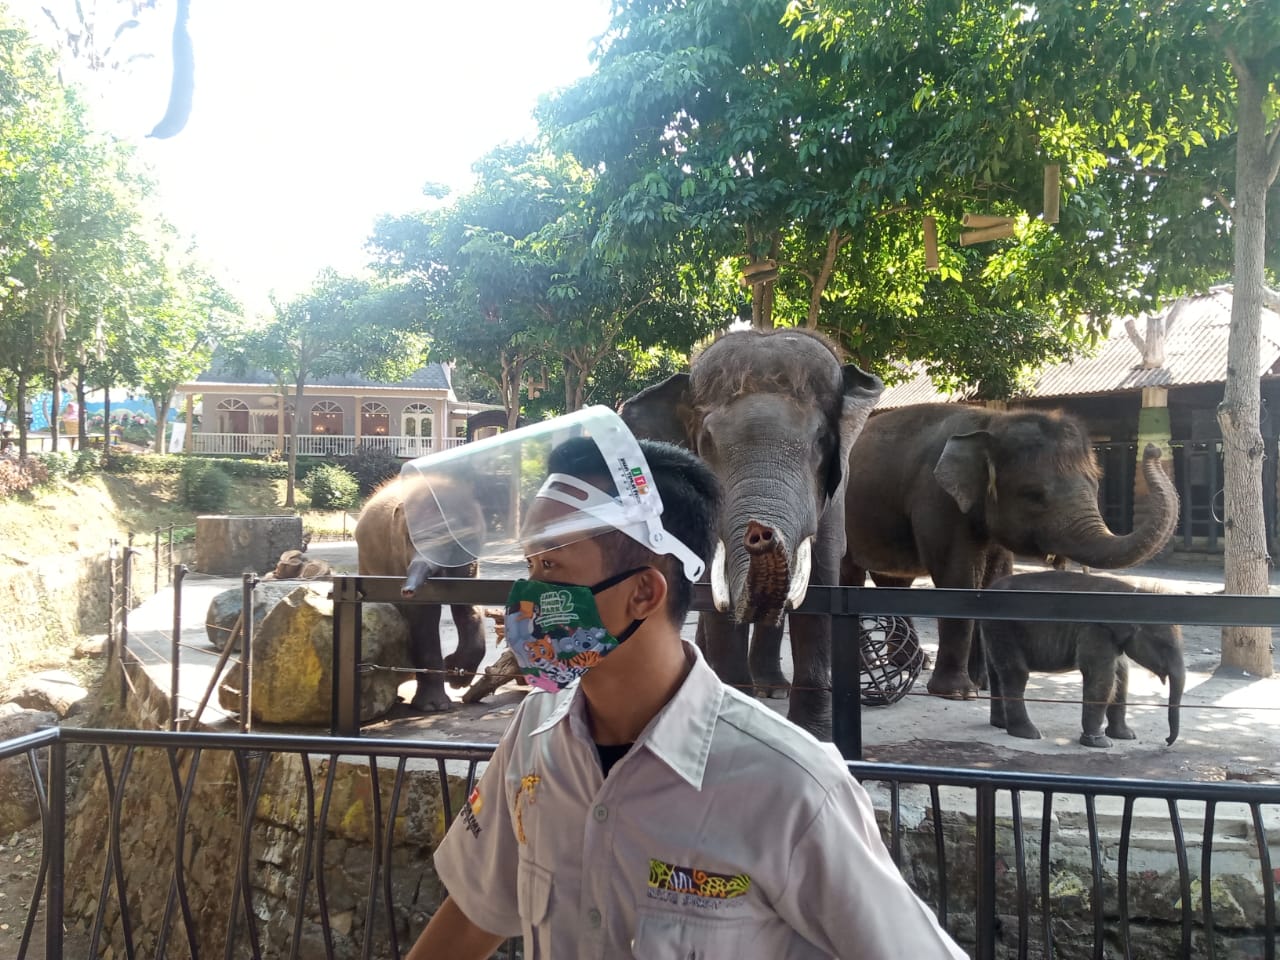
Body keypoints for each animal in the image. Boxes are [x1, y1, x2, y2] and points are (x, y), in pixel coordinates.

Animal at [355, 478, 483, 716]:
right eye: (409, 539)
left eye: (452, 540)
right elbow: (423, 616)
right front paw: (434, 707)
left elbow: (469, 606)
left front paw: (456, 677)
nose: (407, 590)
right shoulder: (397, 554)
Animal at [622, 327, 885, 742]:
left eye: (821, 441)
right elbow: (716, 599)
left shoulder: (834, 502)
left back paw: (772, 689)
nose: (760, 532)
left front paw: (816, 736)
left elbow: (821, 585)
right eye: (707, 443)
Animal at [839, 407, 1177, 701]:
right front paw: (959, 693)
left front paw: (985, 684)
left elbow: (995, 579)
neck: (993, 423)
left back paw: (912, 663)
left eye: (1095, 486)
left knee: (893, 582)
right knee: (850, 575)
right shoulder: (937, 499)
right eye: (1034, 495)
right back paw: (869, 662)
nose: (1153, 449)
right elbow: (958, 578)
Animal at [983, 576, 1182, 747]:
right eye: (1164, 645)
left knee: (995, 672)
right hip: (1003, 627)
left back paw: (1000, 724)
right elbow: (1102, 678)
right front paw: (1100, 743)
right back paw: (1028, 733)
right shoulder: (1095, 630)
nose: (1167, 740)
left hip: (994, 629)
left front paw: (1126, 736)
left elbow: (1122, 675)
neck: (1131, 592)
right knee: (1015, 673)